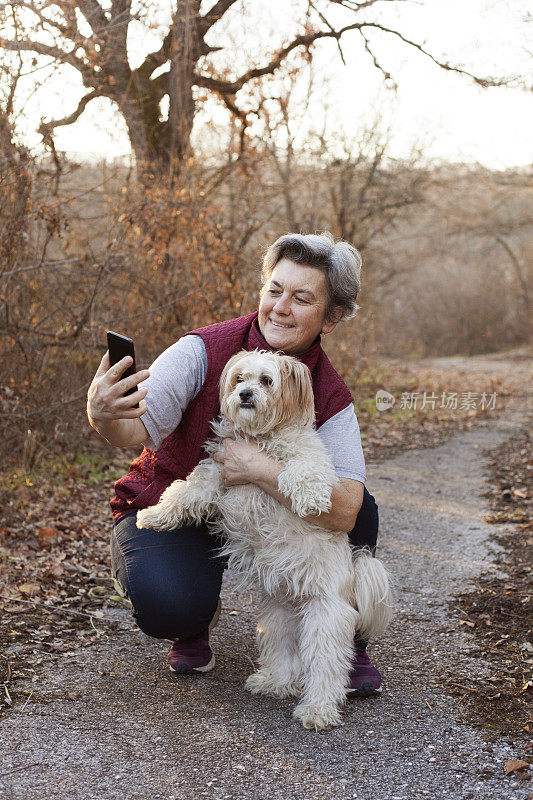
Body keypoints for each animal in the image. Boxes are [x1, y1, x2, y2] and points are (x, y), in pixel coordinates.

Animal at [136, 350, 390, 732]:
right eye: (239, 378)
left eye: (267, 380)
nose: (244, 395)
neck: (260, 438)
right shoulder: (215, 474)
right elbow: (182, 494)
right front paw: (152, 515)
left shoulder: (306, 456)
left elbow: (306, 470)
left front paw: (311, 500)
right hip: (277, 617)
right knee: (285, 656)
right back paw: (275, 682)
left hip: (324, 622)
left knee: (327, 670)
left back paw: (317, 710)